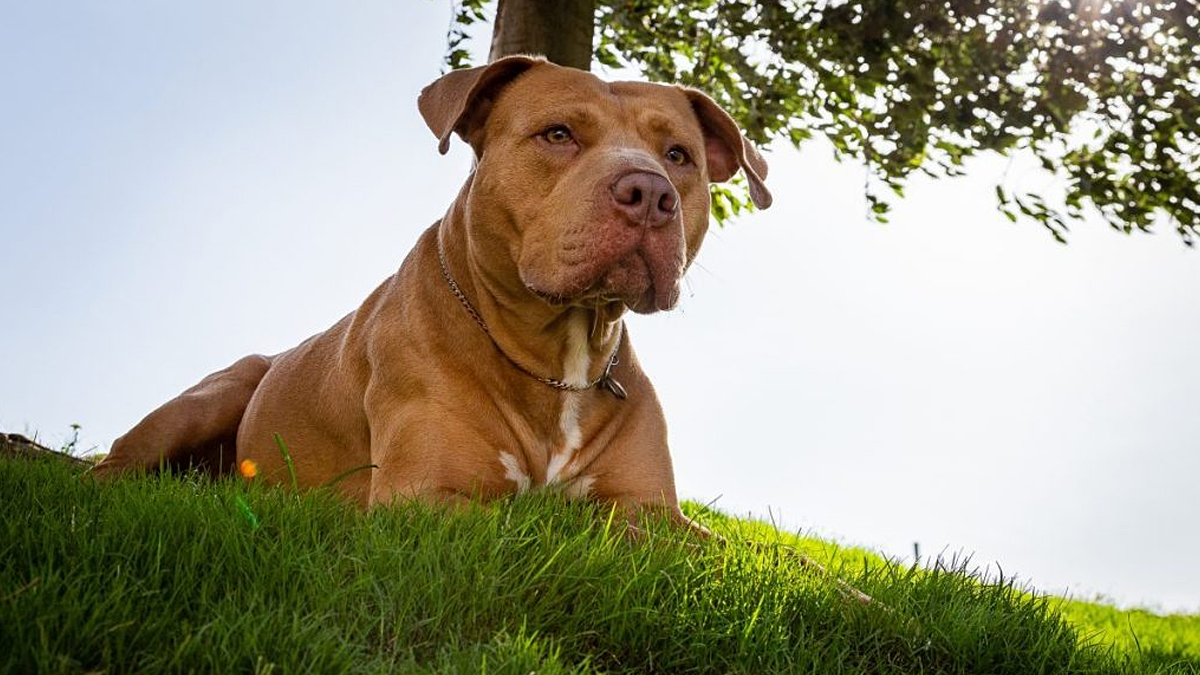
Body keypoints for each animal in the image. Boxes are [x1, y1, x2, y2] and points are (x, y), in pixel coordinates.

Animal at [91, 53, 768, 526]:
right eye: (557, 135)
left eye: (678, 155)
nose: (649, 193)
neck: (557, 360)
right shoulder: (424, 498)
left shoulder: (655, 512)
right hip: (213, 396)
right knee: (109, 472)